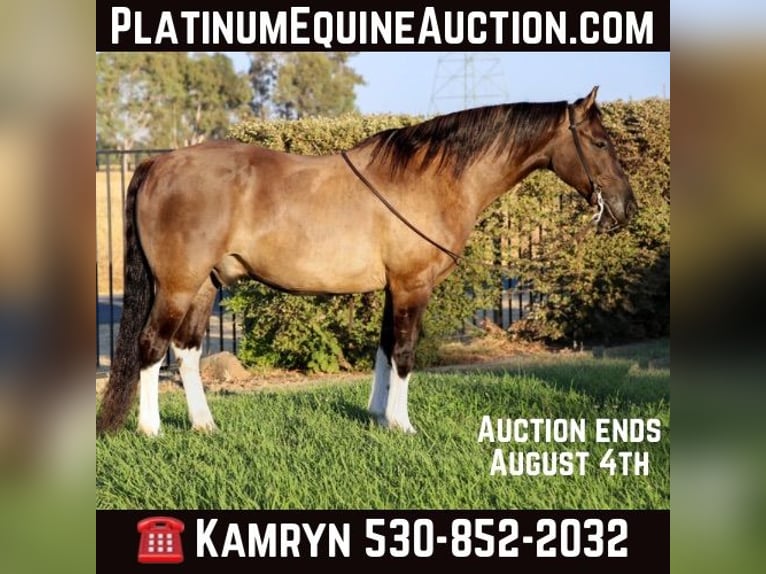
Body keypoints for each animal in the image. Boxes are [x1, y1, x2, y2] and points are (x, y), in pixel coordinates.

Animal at [96, 86, 637, 436]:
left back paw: (205, 425)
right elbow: (405, 352)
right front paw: (402, 424)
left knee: (186, 351)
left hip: (206, 284)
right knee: (150, 347)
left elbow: (384, 349)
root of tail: (159, 162)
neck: (430, 179)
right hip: (177, 285)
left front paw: (378, 417)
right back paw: (151, 430)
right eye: (601, 143)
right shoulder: (413, 285)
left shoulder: (394, 288)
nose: (626, 208)